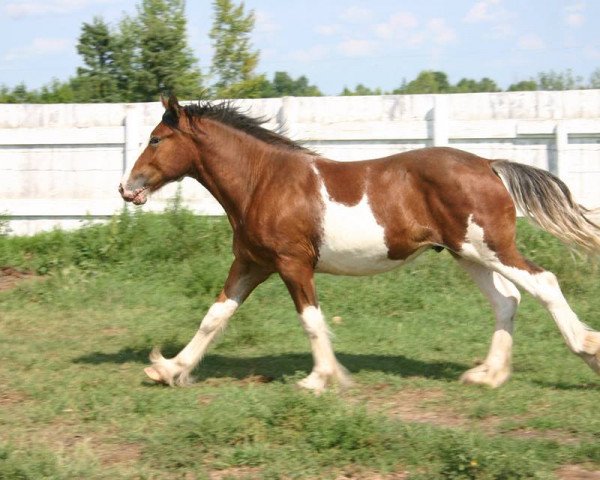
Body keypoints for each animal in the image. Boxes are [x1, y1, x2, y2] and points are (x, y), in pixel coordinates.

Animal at [118, 95, 600, 392]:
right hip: (469, 254)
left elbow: (311, 320)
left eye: (156, 139)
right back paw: (487, 376)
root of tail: (488, 163)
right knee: (507, 300)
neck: (263, 182)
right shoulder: (251, 264)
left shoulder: (293, 264)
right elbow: (214, 317)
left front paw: (319, 379)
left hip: (491, 248)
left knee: (543, 282)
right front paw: (168, 369)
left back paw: (587, 349)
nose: (126, 188)